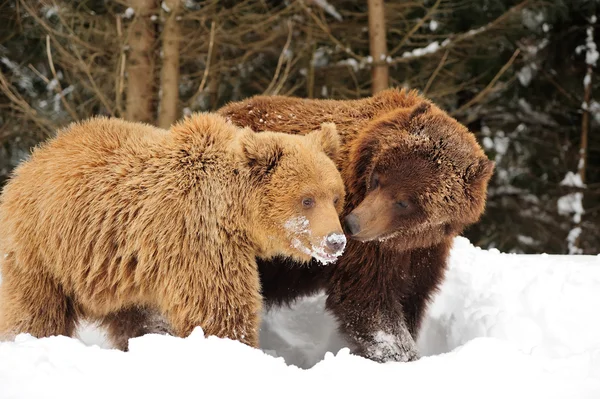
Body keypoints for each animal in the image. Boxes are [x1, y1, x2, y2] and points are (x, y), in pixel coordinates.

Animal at [0, 111, 346, 350]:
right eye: (307, 199)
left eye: (335, 196)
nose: (336, 241)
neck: (233, 212)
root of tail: (30, 160)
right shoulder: (197, 236)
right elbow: (220, 307)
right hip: (44, 251)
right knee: (37, 309)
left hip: (118, 272)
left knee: (136, 317)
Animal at [218, 89, 494, 364]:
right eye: (377, 179)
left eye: (404, 201)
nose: (352, 223)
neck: (405, 237)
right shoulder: (367, 250)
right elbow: (368, 300)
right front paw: (402, 355)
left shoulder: (423, 253)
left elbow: (410, 298)